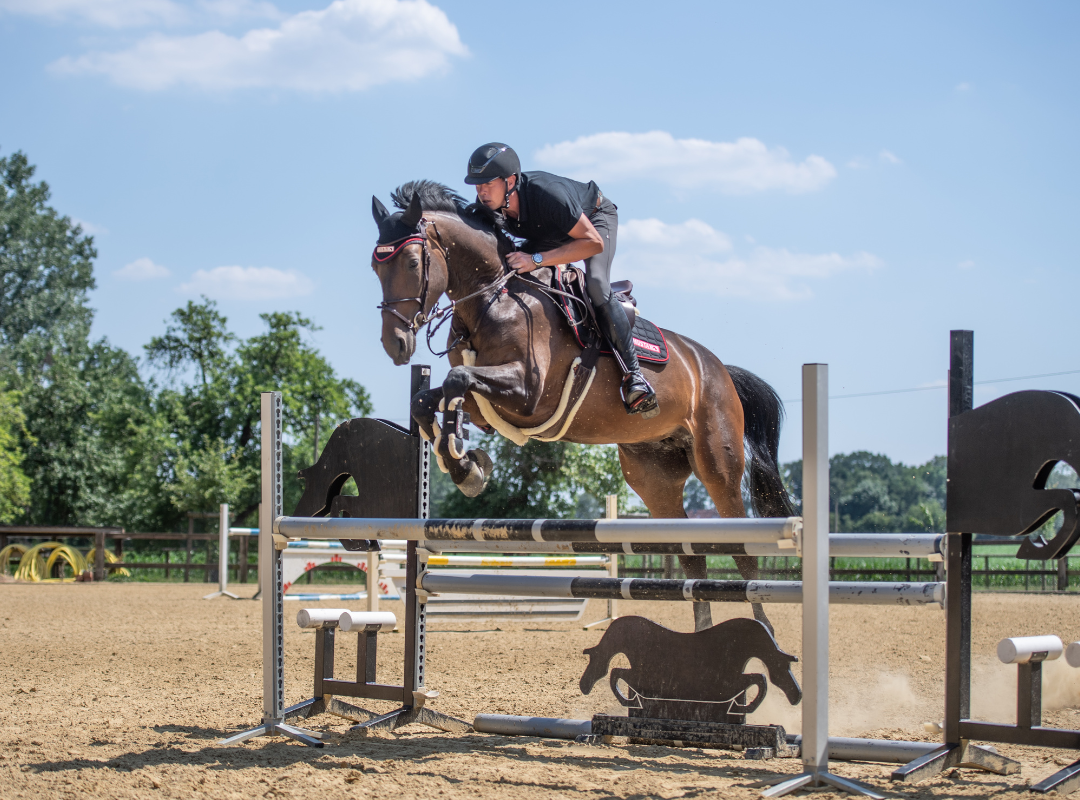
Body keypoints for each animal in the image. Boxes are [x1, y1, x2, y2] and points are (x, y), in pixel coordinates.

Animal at [371, 181, 794, 630]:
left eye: (412, 262)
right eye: (375, 268)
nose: (396, 345)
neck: (494, 299)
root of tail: (718, 369)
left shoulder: (528, 394)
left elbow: (457, 381)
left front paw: (464, 462)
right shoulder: (488, 403)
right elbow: (427, 399)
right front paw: (466, 466)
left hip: (718, 465)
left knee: (742, 552)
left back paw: (762, 629)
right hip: (654, 477)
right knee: (691, 558)